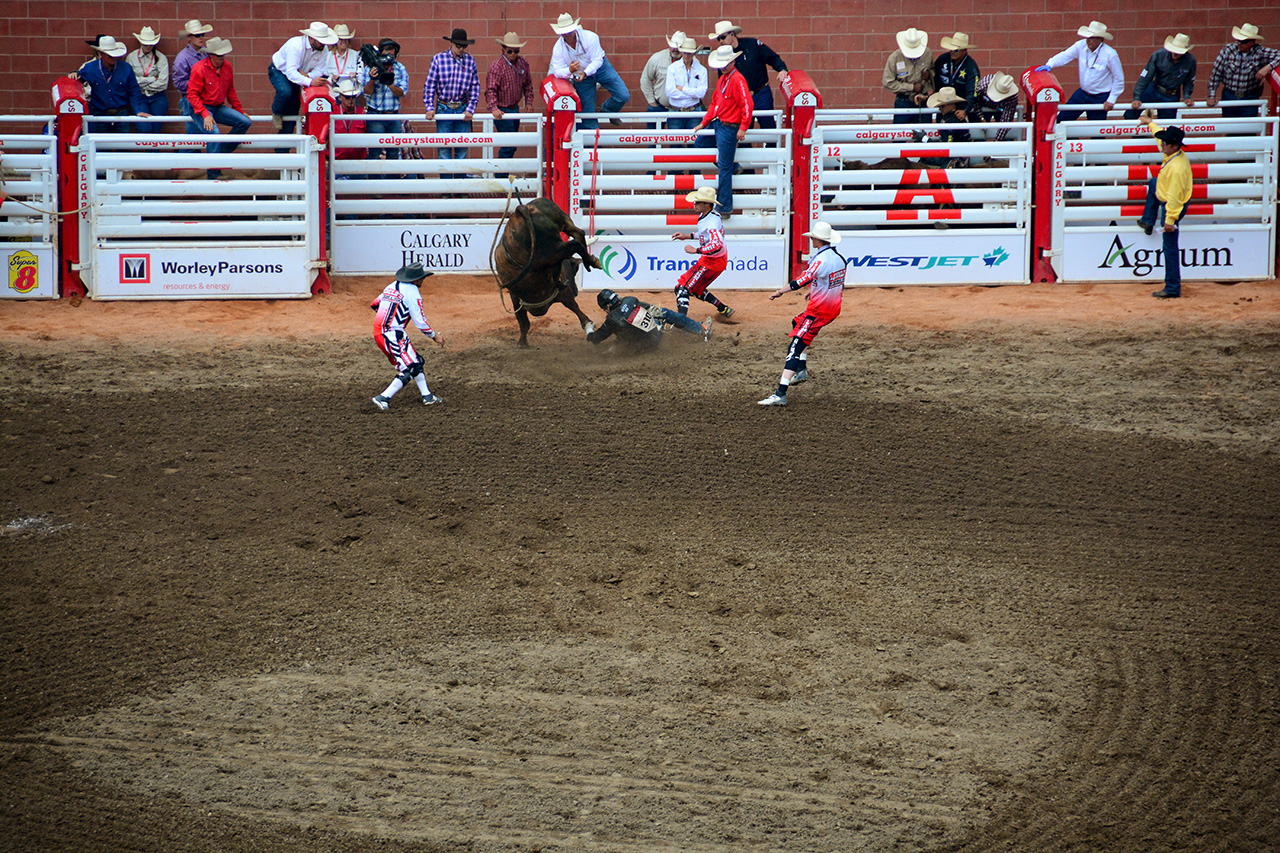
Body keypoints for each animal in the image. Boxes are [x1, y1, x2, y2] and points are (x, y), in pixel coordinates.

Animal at [494, 197, 604, 343]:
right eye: (574, 268)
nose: (575, 291)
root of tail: (524, 208)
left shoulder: (563, 294)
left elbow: (574, 307)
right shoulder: (517, 301)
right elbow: (523, 323)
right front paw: (522, 342)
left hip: (548, 253)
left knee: (575, 242)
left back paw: (590, 261)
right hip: (560, 227)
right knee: (578, 235)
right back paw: (590, 261)